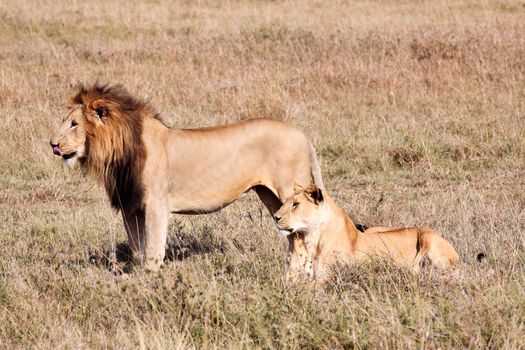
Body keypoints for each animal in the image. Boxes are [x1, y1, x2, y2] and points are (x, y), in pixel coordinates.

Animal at [51, 82, 326, 270]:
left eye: (74, 124)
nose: (52, 144)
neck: (119, 151)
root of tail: (302, 134)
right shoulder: (131, 206)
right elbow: (138, 248)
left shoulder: (155, 205)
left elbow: (153, 248)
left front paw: (151, 278)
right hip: (271, 197)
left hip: (290, 191)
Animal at [274, 183, 458, 282]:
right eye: (287, 202)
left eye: (295, 204)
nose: (275, 217)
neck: (313, 237)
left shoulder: (328, 277)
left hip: (428, 236)